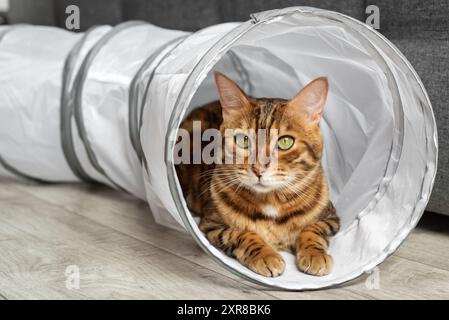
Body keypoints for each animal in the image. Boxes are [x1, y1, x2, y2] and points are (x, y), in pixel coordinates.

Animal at [175, 72, 340, 278]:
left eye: (285, 142)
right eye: (243, 140)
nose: (259, 169)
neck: (271, 201)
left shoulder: (331, 216)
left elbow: (313, 229)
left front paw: (315, 254)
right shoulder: (212, 223)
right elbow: (241, 233)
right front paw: (266, 255)